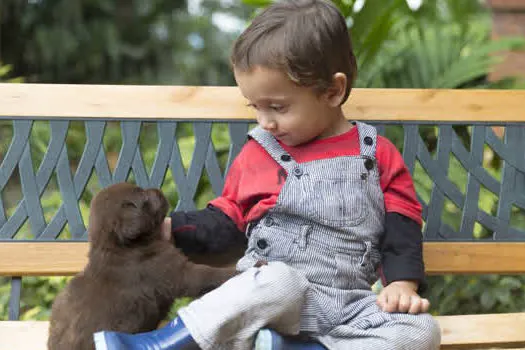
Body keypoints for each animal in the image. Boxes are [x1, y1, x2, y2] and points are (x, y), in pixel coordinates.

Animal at [48, 183, 236, 350]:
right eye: (143, 196)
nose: (158, 189)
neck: (124, 247)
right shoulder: (177, 272)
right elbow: (207, 273)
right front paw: (236, 270)